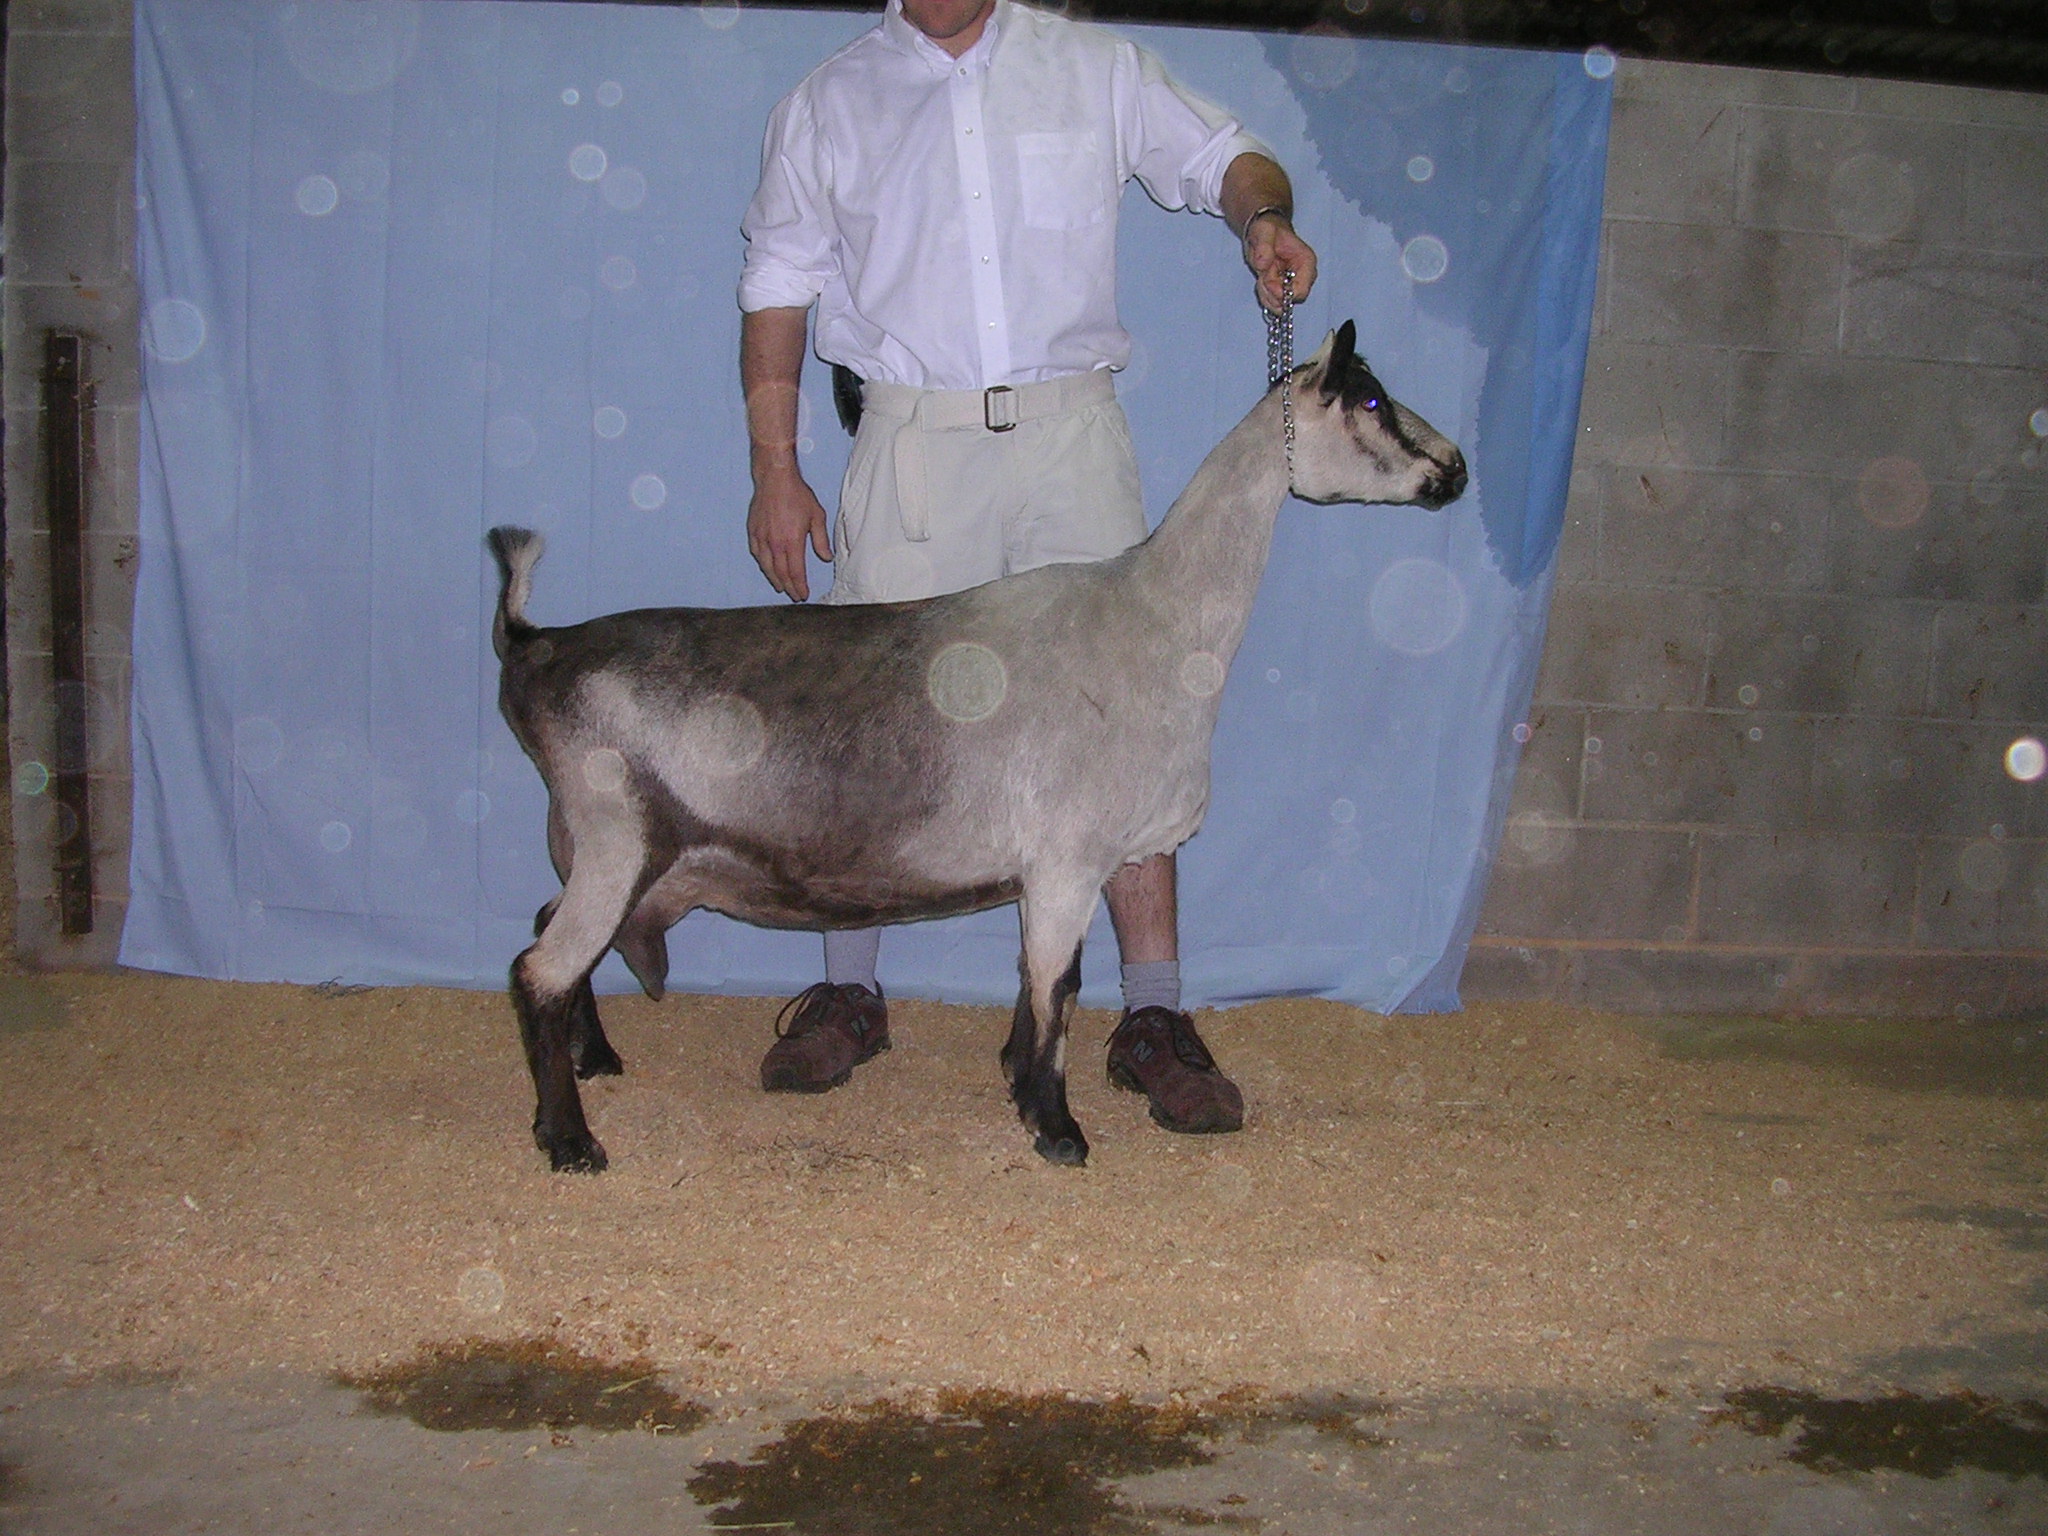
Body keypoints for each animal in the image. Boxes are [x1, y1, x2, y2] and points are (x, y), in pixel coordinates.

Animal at [489, 321, 1465, 1173]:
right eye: (1371, 399)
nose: (1455, 468)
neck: (1157, 618)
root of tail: (539, 644)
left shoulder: (1061, 871)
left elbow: (1038, 984)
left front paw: (1019, 1087)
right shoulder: (1068, 861)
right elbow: (1059, 989)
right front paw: (1058, 1129)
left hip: (599, 847)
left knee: (546, 929)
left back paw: (596, 1062)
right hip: (617, 836)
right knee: (540, 968)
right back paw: (569, 1141)